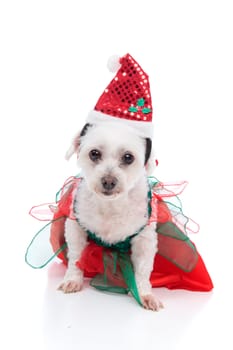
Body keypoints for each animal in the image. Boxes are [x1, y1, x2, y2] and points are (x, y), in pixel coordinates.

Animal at [58, 122, 164, 312]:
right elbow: (76, 258)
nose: (108, 181)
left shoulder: (145, 239)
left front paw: (144, 294)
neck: (110, 205)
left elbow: (143, 269)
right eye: (94, 153)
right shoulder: (75, 227)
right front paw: (72, 279)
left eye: (128, 157)